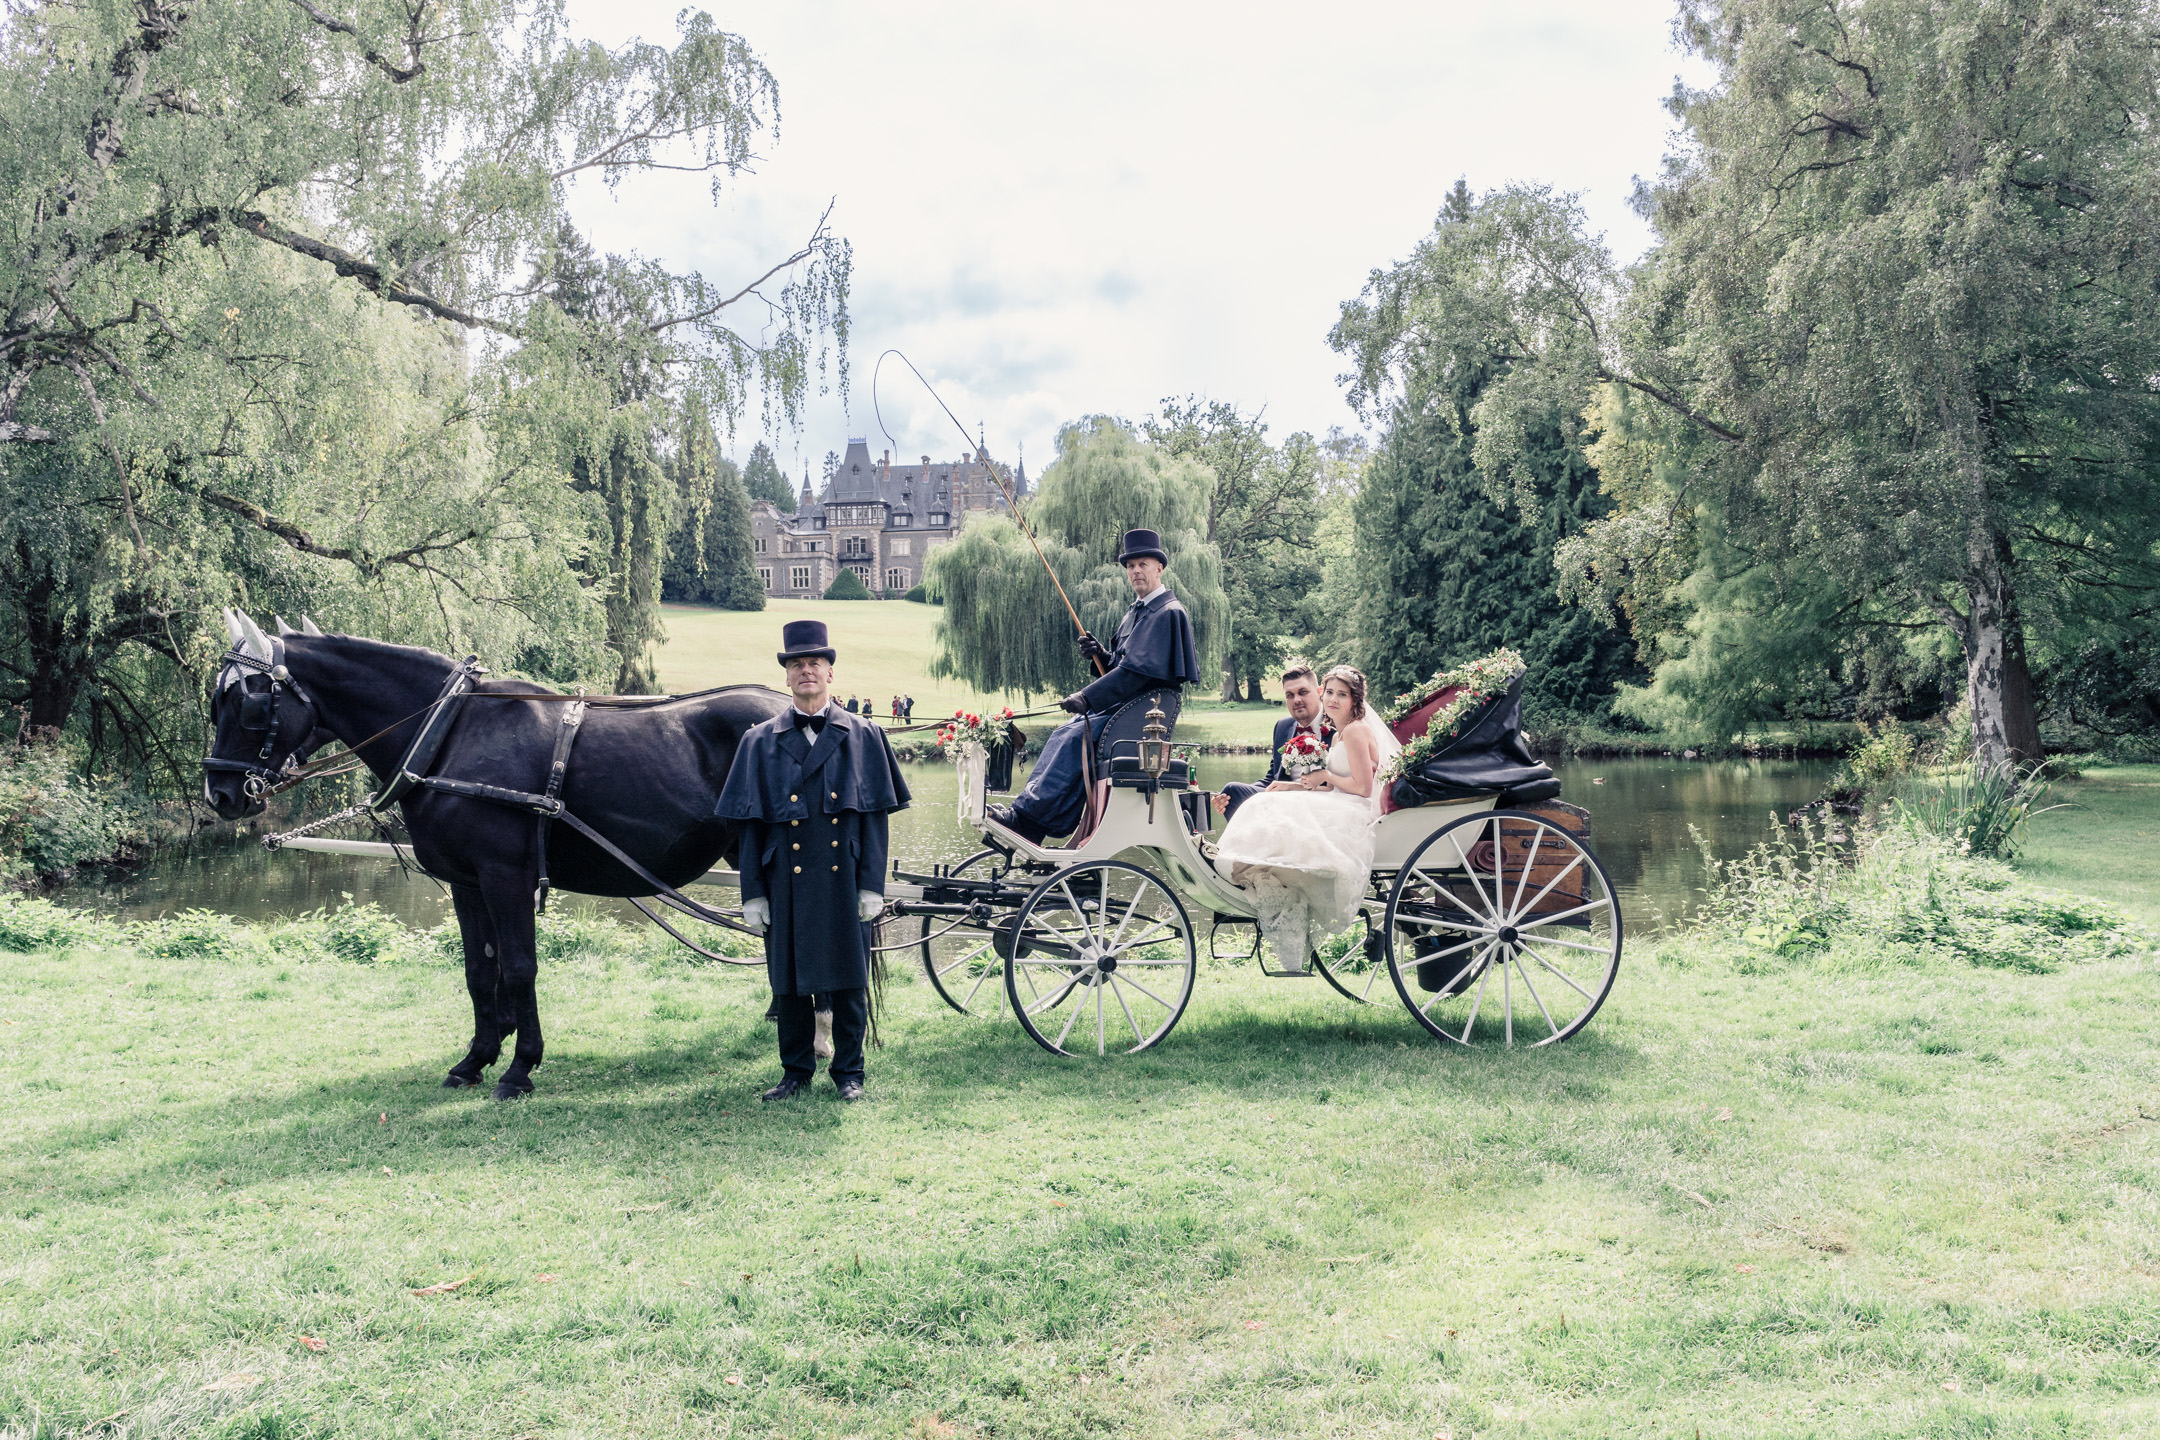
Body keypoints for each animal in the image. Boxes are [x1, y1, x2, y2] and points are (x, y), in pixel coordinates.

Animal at [203, 613, 790, 1096]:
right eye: (217, 700)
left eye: (246, 701)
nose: (220, 794)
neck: (449, 733)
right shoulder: (467, 882)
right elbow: (480, 971)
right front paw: (477, 1057)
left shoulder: (506, 876)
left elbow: (520, 967)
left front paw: (520, 1066)